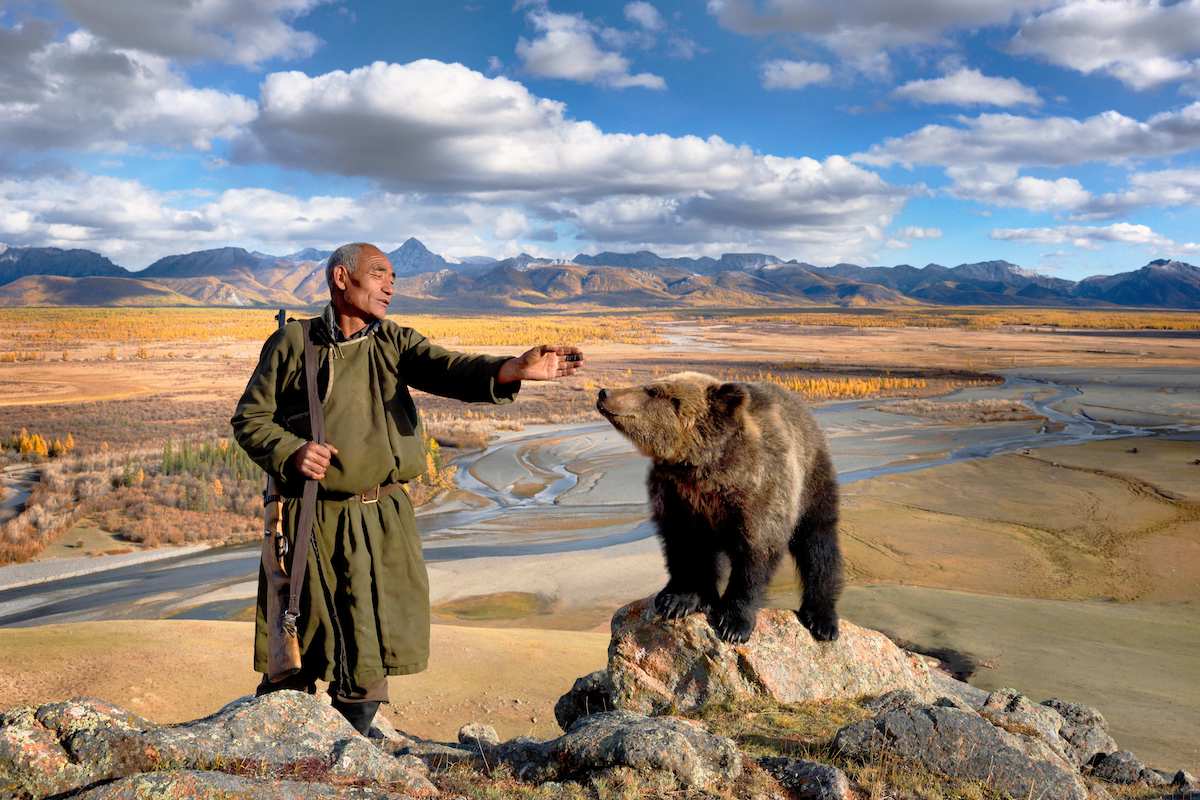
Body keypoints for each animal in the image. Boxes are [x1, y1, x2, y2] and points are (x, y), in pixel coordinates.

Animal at [592, 371, 840, 642]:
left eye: (652, 391)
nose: (604, 392)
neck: (702, 468)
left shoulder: (759, 490)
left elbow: (755, 555)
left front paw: (734, 623)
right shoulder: (677, 495)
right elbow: (683, 546)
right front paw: (678, 599)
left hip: (812, 481)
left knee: (818, 544)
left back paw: (822, 619)